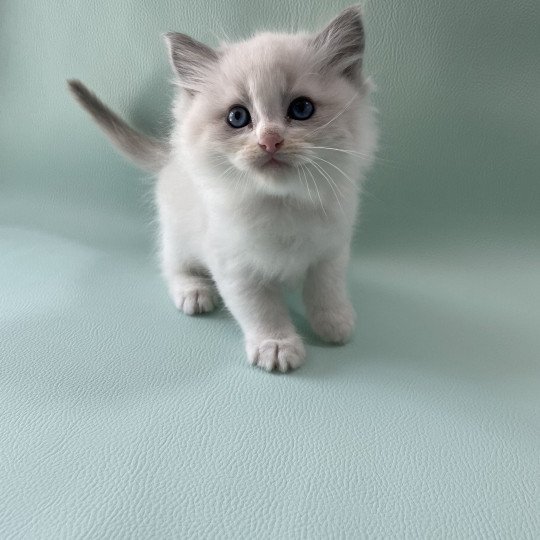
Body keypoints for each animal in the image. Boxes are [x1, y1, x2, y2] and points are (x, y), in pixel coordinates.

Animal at [69, 5, 378, 372]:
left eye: (301, 109)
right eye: (237, 117)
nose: (269, 141)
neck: (281, 205)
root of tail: (171, 156)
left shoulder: (330, 252)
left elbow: (326, 290)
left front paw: (334, 323)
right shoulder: (234, 266)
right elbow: (262, 310)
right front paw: (276, 345)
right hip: (178, 233)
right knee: (171, 264)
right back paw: (193, 292)